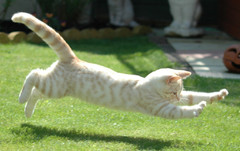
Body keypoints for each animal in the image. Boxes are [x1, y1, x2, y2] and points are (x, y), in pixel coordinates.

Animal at [11, 12, 229, 119]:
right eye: (173, 92)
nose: (176, 98)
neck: (146, 85)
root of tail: (74, 58)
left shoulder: (182, 98)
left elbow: (197, 96)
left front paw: (219, 95)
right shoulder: (163, 108)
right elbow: (184, 111)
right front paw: (198, 109)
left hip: (54, 89)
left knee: (36, 91)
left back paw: (28, 112)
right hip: (54, 87)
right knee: (33, 74)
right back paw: (21, 99)